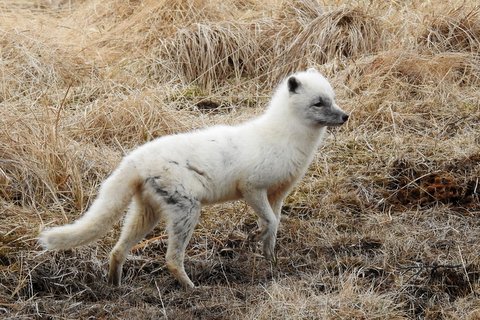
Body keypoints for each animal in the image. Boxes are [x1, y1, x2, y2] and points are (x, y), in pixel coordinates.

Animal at [39, 69, 348, 288]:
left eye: (332, 98)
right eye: (318, 103)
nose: (345, 116)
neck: (286, 137)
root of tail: (135, 158)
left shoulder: (278, 193)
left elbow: (273, 224)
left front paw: (269, 258)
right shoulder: (251, 187)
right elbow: (270, 222)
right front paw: (257, 242)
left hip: (146, 214)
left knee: (117, 250)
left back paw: (114, 287)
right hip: (186, 211)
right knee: (171, 259)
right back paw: (191, 288)